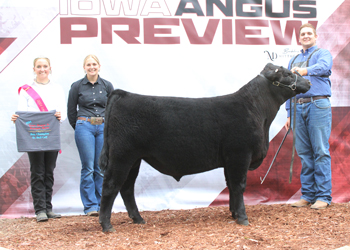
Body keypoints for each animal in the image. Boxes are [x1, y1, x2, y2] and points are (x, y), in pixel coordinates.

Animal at [98, 63, 308, 232]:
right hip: (122, 155)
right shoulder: (240, 154)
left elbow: (231, 185)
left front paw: (233, 213)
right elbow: (239, 185)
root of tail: (123, 94)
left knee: (127, 188)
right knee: (111, 185)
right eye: (288, 74)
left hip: (134, 159)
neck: (257, 112)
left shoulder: (229, 160)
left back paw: (138, 219)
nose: (307, 82)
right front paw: (242, 217)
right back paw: (107, 225)